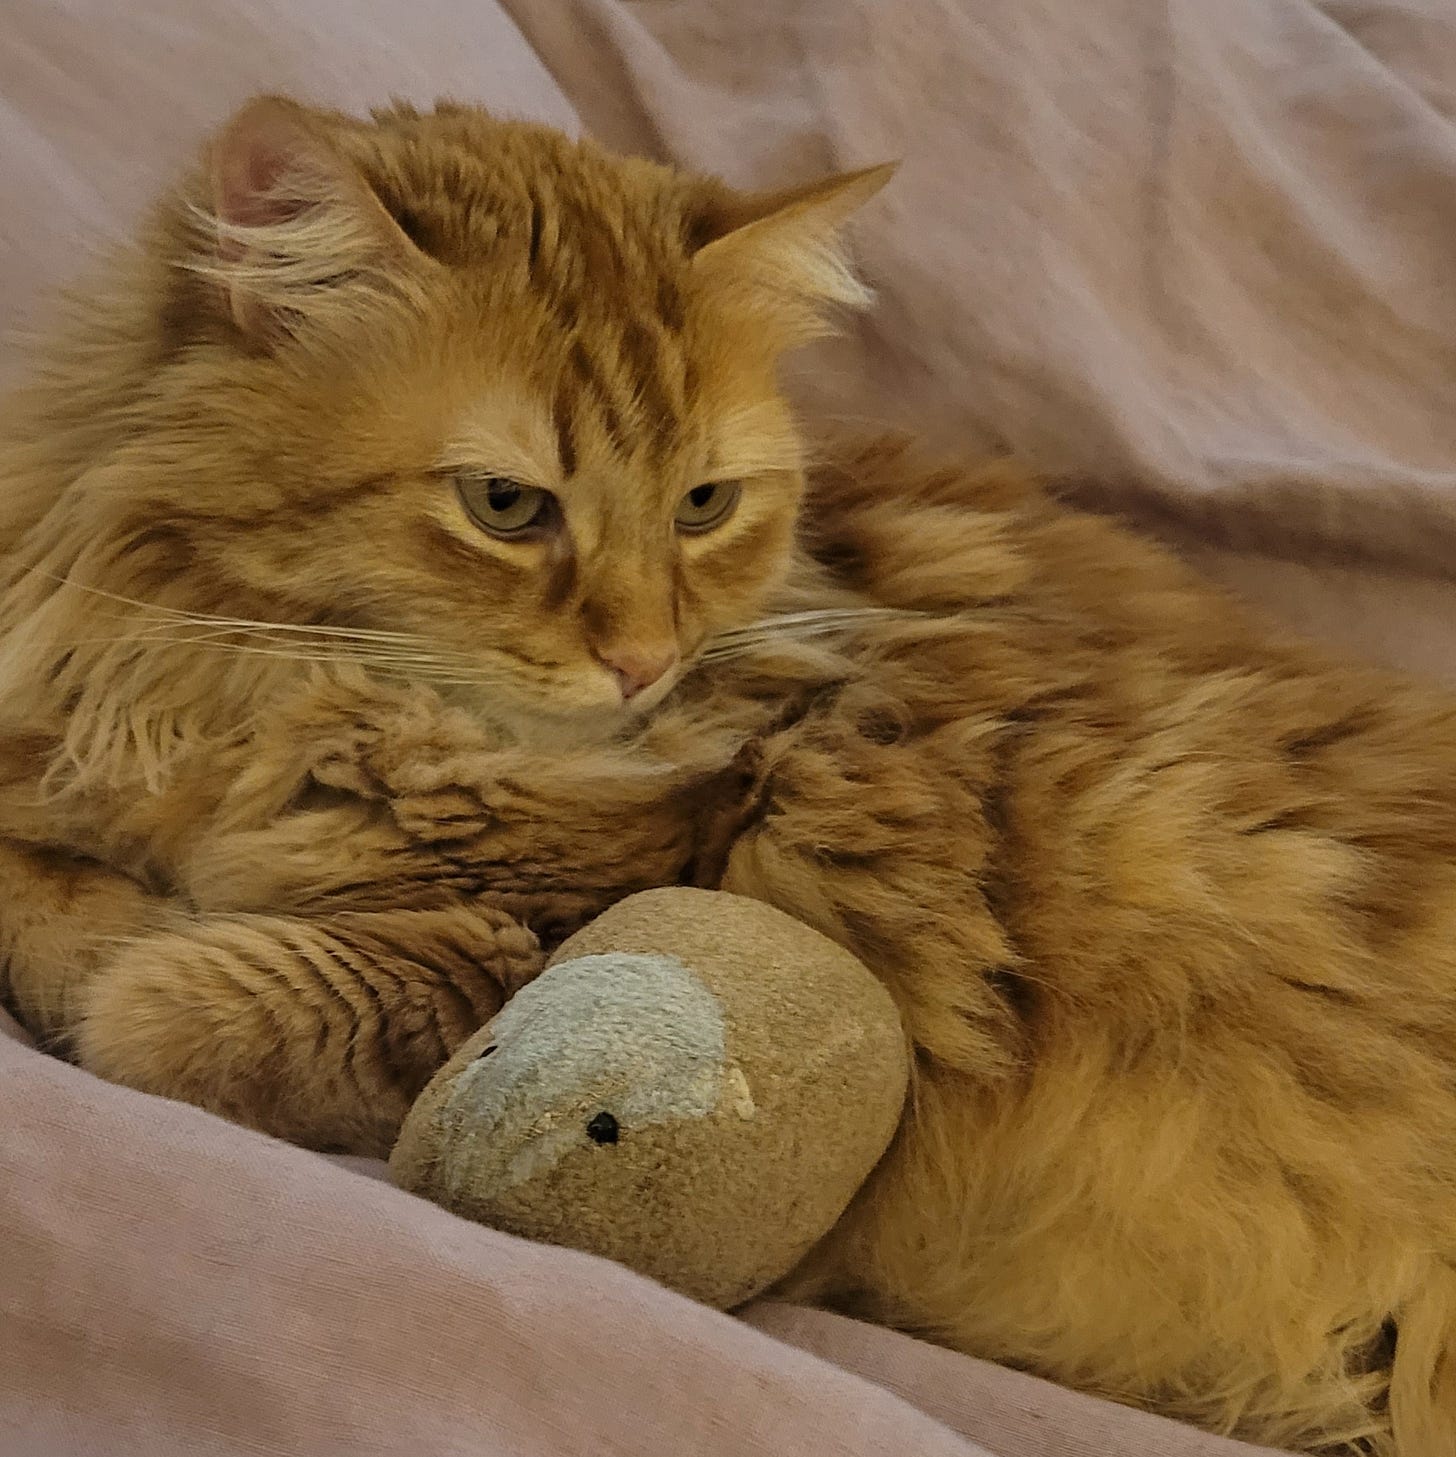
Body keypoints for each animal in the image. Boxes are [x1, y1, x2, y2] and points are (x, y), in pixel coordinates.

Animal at [2, 96, 1456, 1451]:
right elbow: (44, 880)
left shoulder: (527, 928)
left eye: (703, 506)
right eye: (506, 506)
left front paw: (128, 967)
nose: (647, 660)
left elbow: (171, 999)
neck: (245, 697)